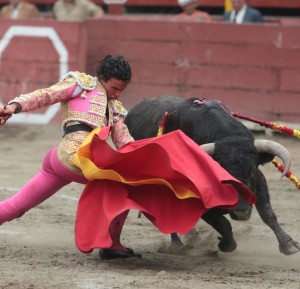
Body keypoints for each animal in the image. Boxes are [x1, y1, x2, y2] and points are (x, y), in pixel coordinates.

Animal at [124, 95, 300, 254]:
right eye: (221, 176)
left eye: (250, 172)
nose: (241, 213)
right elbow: (223, 223)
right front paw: (224, 245)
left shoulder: (259, 180)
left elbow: (268, 214)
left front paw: (289, 245)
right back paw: (178, 245)